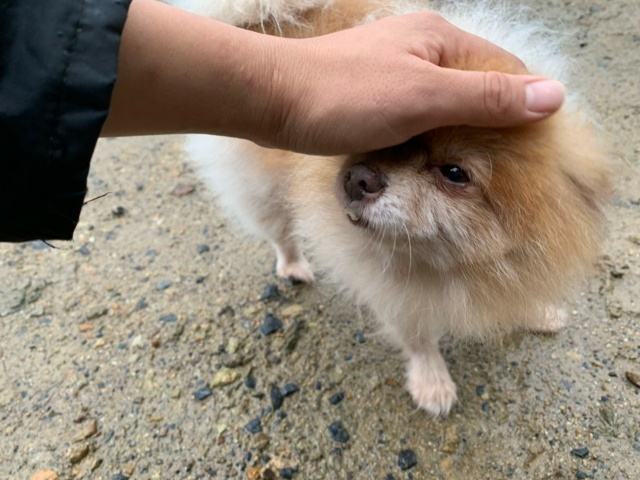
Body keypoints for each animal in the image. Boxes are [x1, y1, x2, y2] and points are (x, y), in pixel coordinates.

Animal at [169, 0, 611, 416]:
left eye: (454, 173)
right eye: (387, 139)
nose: (357, 177)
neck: (454, 265)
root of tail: (253, 20)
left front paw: (539, 312)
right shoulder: (397, 292)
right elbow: (418, 338)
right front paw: (432, 383)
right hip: (262, 192)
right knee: (280, 233)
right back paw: (295, 266)